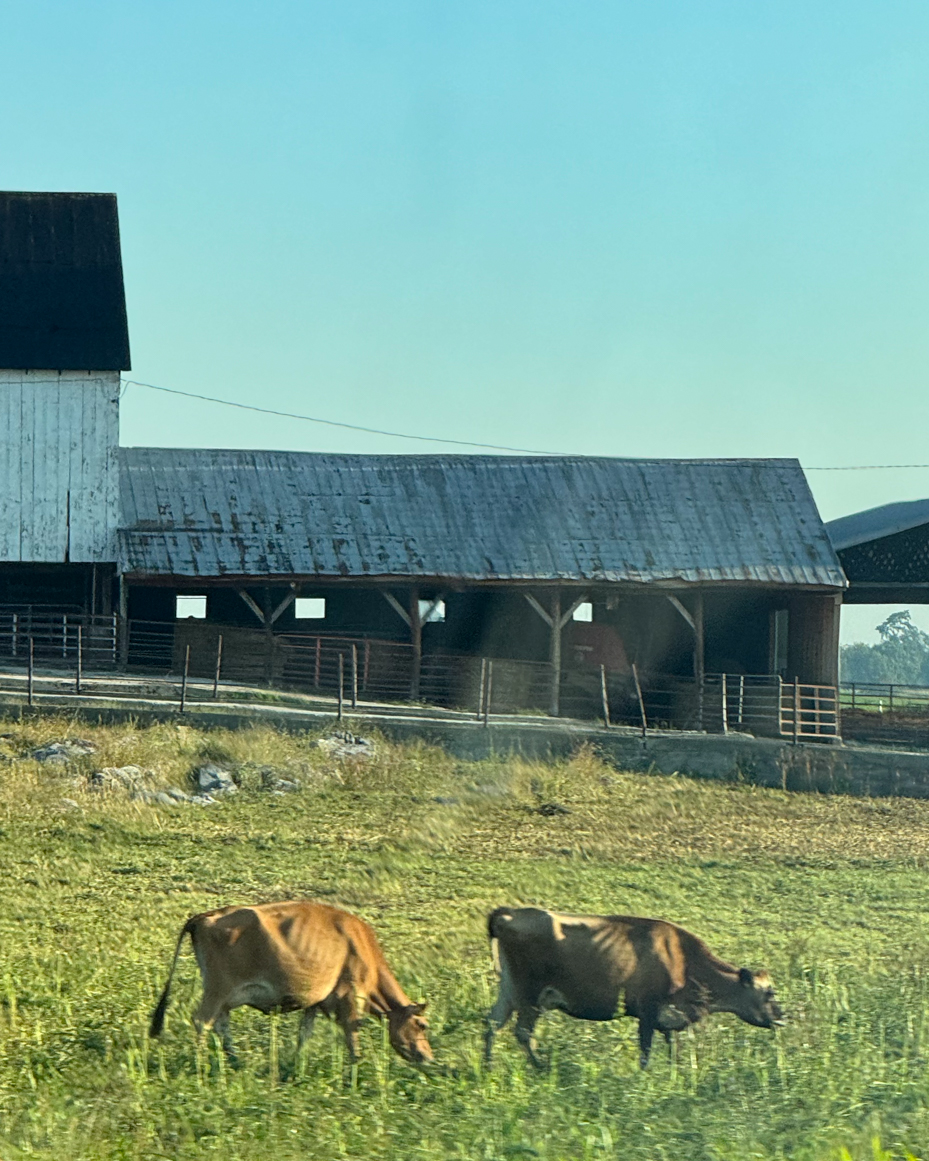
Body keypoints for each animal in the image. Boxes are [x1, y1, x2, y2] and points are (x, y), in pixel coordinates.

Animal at [148, 900, 431, 1063]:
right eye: (422, 1025)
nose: (428, 1057)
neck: (361, 944)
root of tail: (205, 916)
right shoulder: (351, 996)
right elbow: (352, 1035)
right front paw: (354, 1071)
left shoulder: (315, 1002)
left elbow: (305, 1033)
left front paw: (297, 1064)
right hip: (218, 989)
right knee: (202, 1021)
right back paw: (202, 1068)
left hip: (223, 996)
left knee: (221, 1024)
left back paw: (233, 1061)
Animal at [485, 905, 785, 1068]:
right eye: (769, 992)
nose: (782, 1016)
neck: (682, 959)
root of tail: (509, 914)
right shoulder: (647, 1011)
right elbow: (646, 1052)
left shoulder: (667, 1018)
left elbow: (673, 1049)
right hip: (529, 995)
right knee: (522, 1032)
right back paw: (542, 1067)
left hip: (509, 991)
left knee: (492, 1024)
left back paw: (488, 1068)